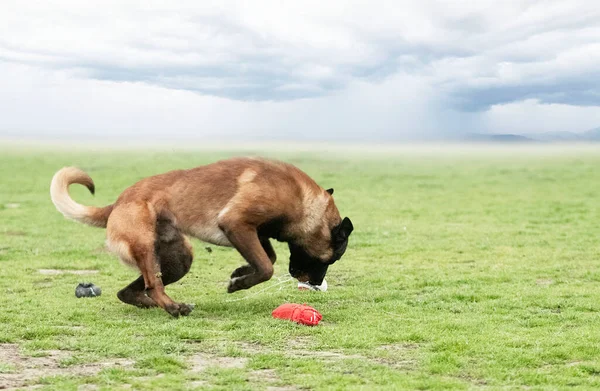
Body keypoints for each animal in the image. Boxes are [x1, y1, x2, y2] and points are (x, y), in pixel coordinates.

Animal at [51, 158, 354, 316]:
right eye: (331, 259)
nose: (315, 284)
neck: (302, 199)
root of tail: (116, 203)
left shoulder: (253, 231)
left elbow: (267, 256)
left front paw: (241, 271)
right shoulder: (236, 223)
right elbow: (267, 266)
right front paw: (240, 283)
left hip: (178, 259)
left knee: (130, 291)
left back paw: (156, 305)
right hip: (146, 247)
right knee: (152, 285)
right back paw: (173, 307)